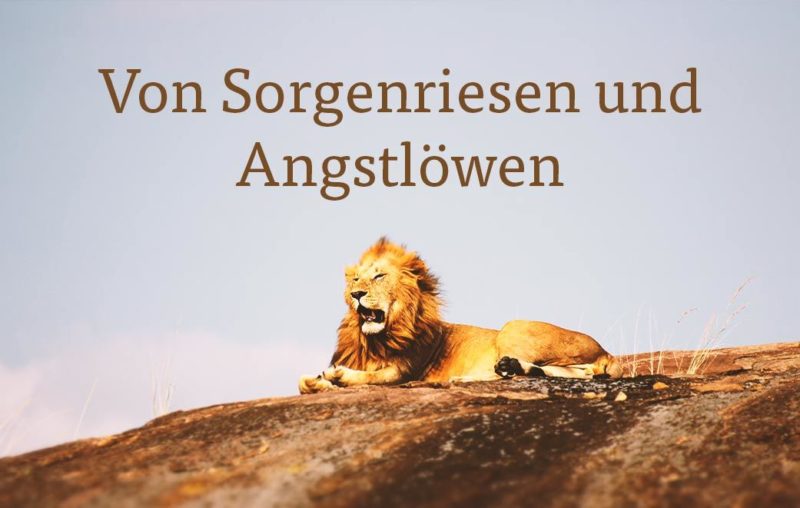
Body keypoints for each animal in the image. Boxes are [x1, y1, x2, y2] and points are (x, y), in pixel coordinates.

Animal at [299, 238, 622, 394]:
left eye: (379, 276)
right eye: (355, 280)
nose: (356, 294)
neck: (374, 340)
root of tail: (606, 351)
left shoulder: (404, 372)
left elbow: (370, 377)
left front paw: (337, 375)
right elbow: (303, 382)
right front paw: (318, 381)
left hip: (512, 327)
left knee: (583, 371)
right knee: (575, 372)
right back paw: (502, 370)